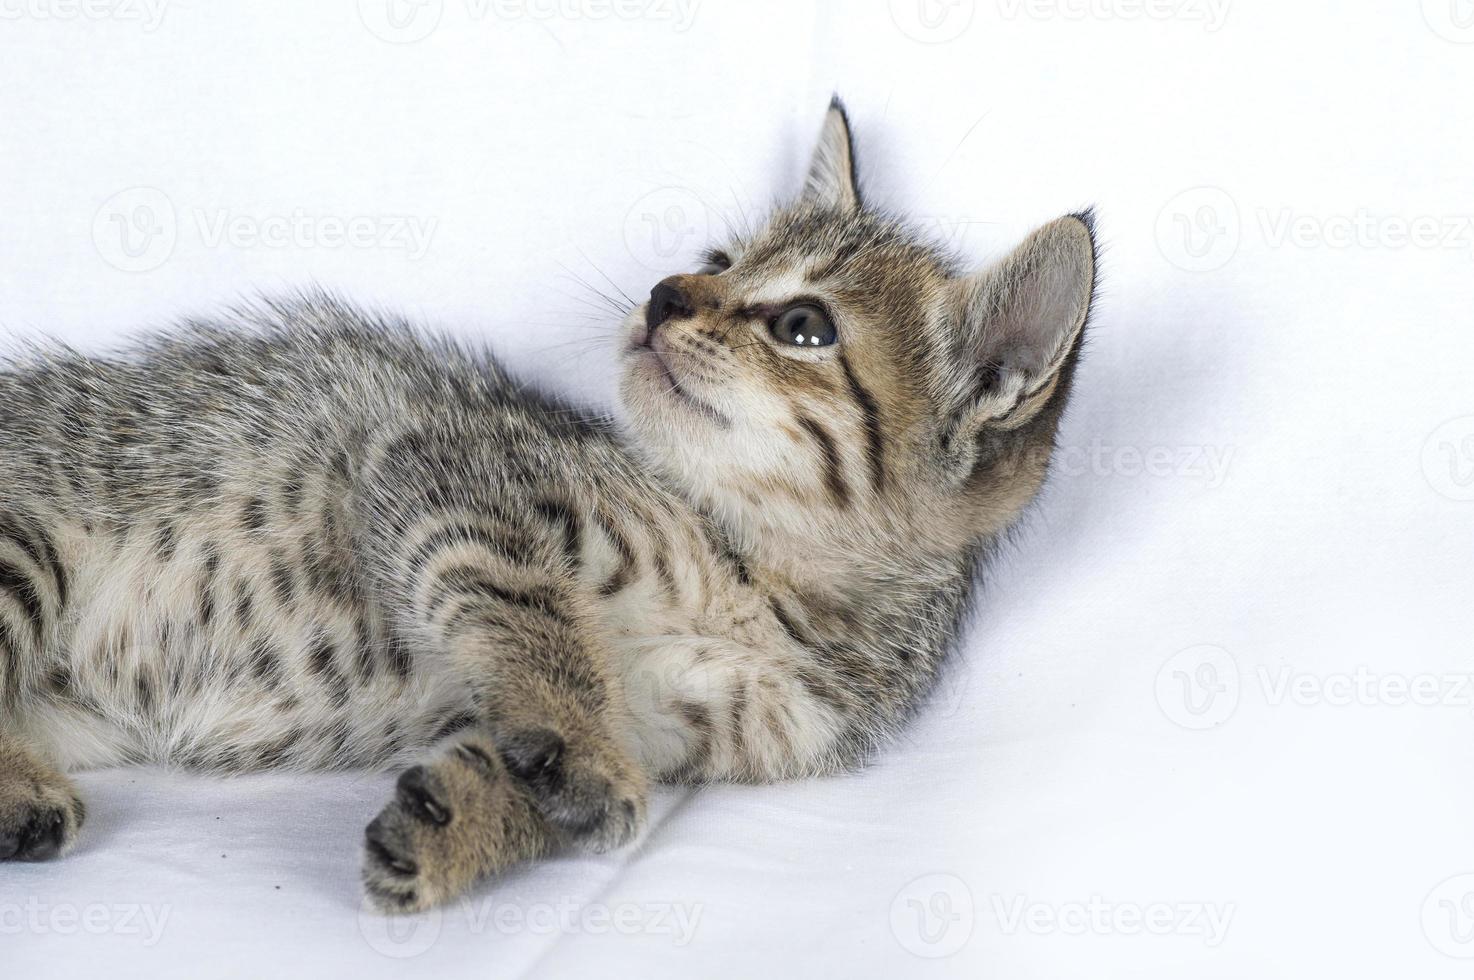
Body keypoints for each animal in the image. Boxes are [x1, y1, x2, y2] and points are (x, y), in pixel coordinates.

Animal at [0, 97, 1096, 907]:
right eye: (716, 257)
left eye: (802, 326)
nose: (664, 294)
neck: (752, 576)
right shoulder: (442, 464)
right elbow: (536, 620)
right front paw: (569, 750)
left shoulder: (681, 725)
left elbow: (553, 749)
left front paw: (462, 822)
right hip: (24, 540)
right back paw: (23, 791)